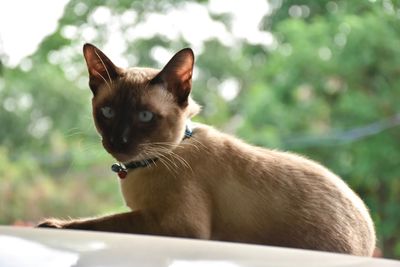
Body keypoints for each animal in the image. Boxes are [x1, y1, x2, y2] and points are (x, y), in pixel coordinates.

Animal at [37, 44, 376, 258]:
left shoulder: (174, 224)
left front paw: (52, 225)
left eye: (145, 116)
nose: (118, 142)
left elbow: (101, 222)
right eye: (107, 112)